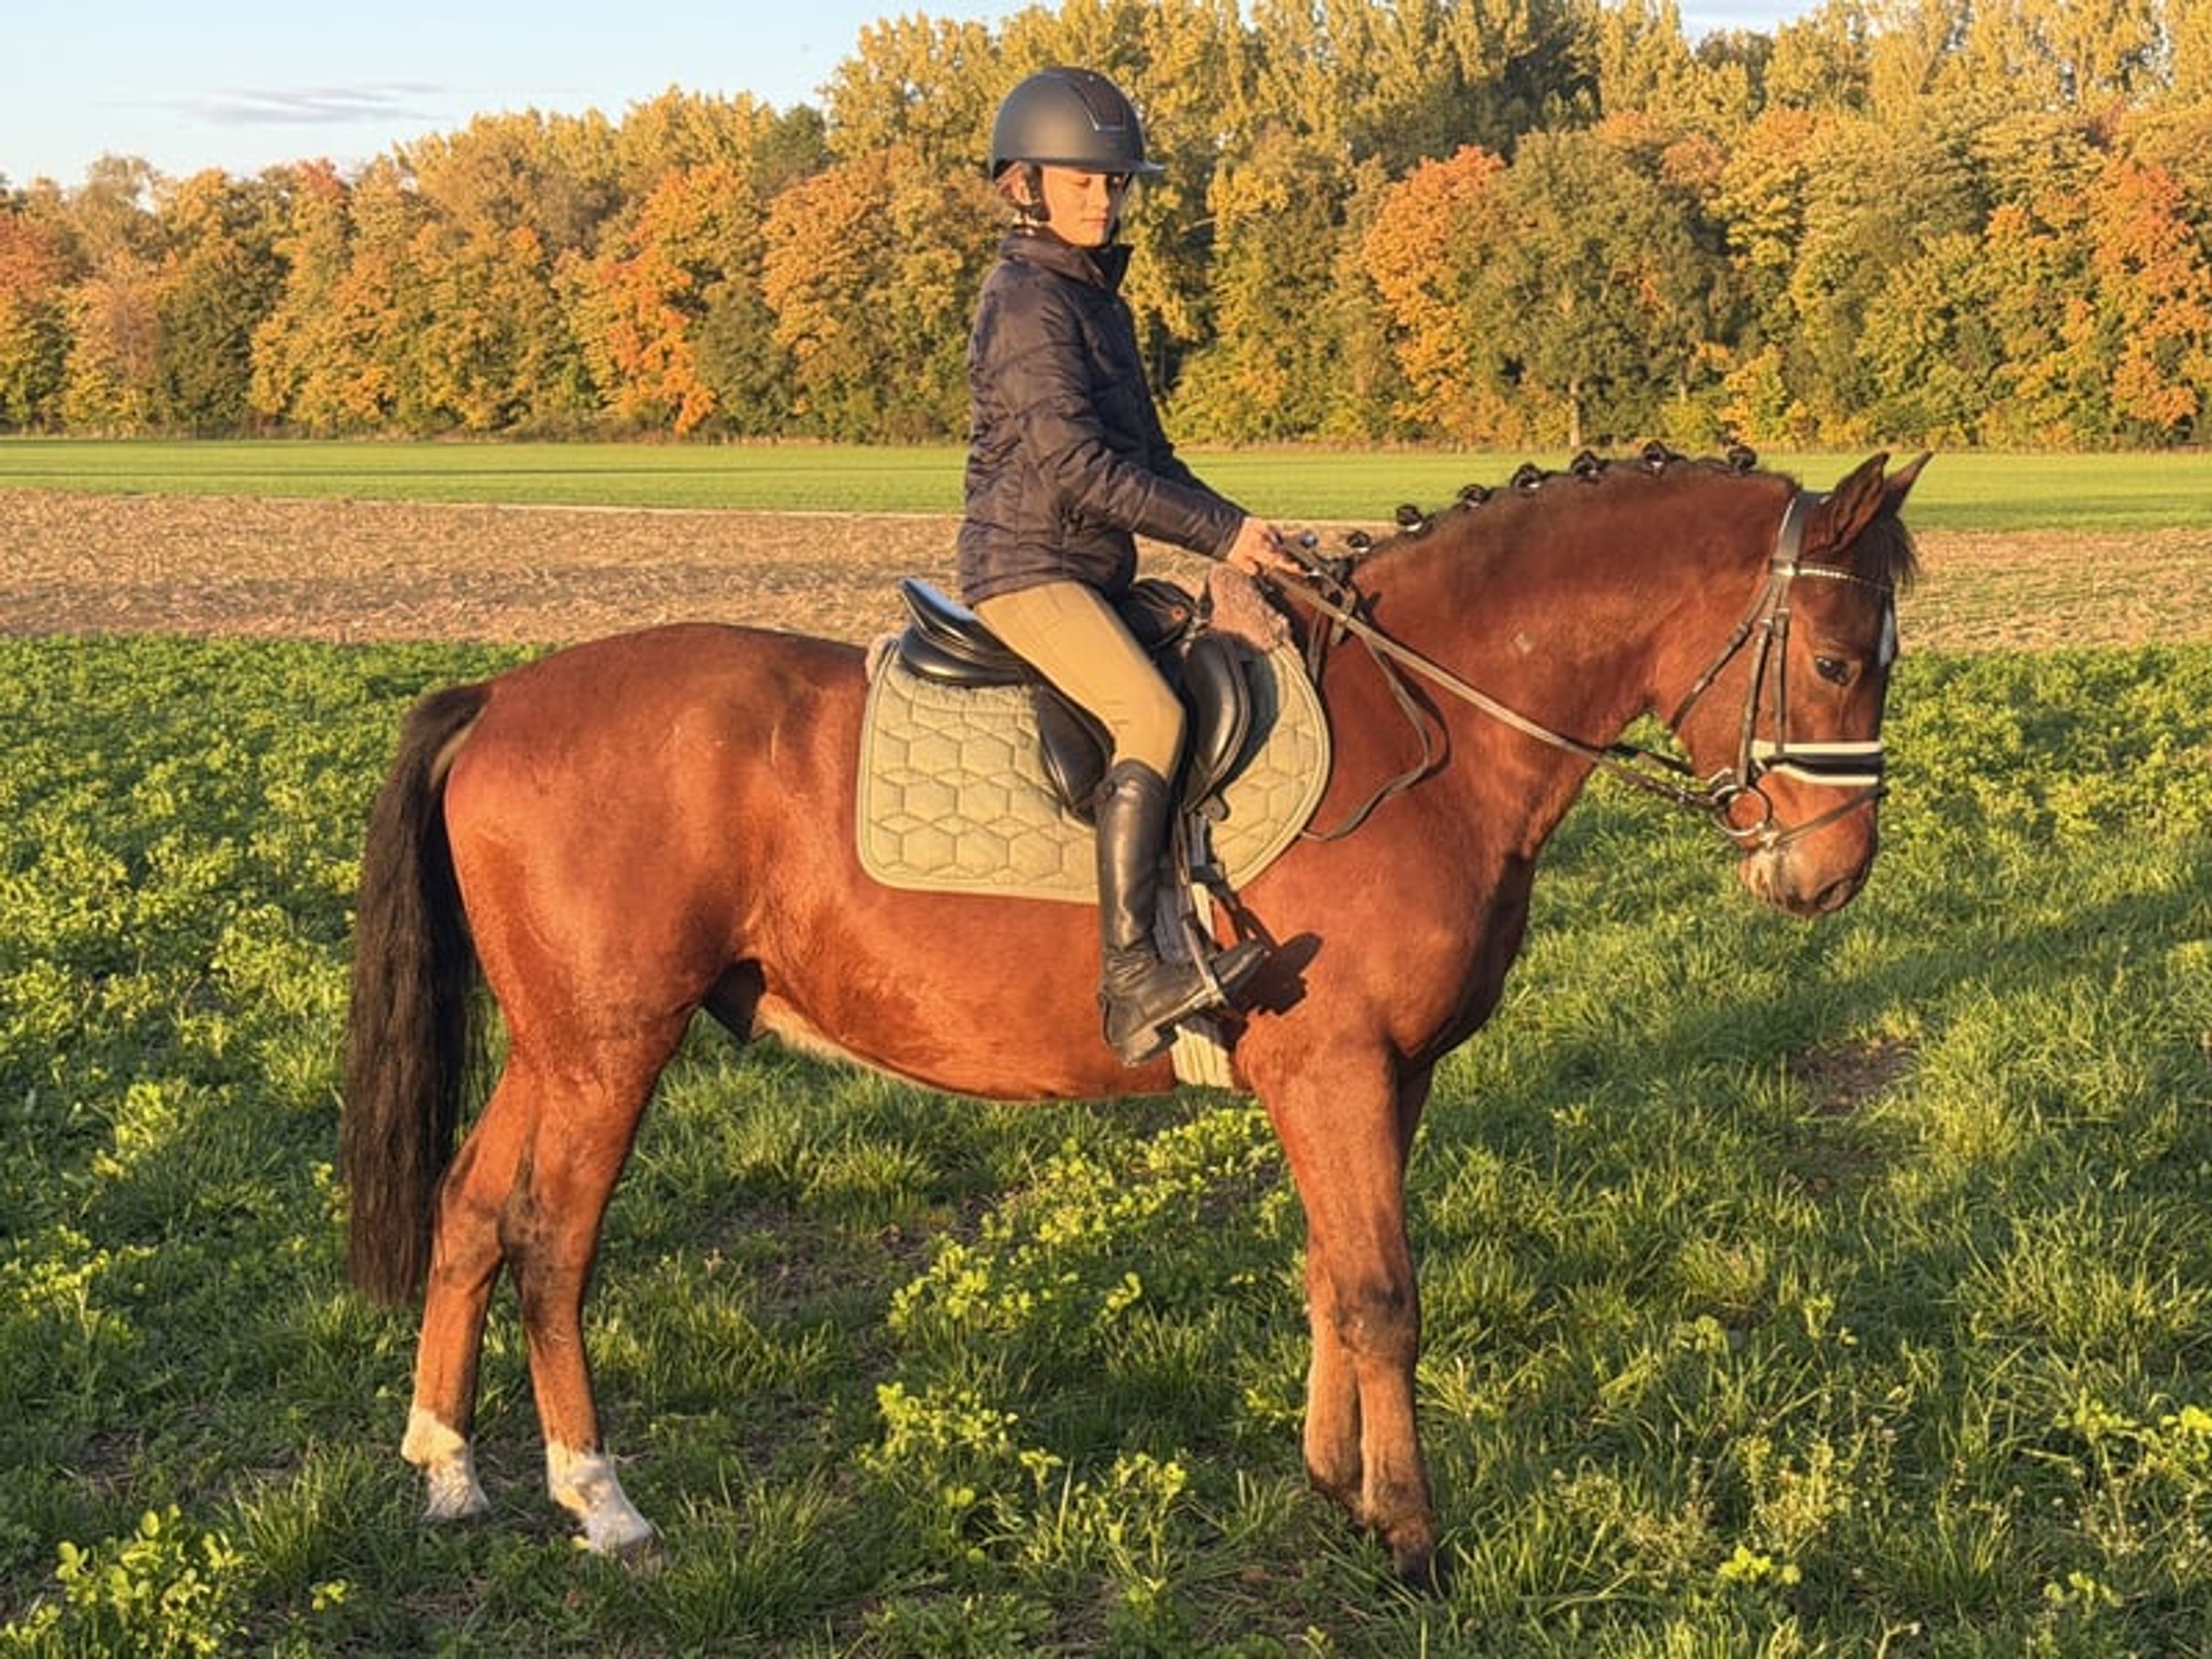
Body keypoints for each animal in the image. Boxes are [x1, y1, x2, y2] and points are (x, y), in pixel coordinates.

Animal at [341, 447, 1925, 1588]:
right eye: (1840, 662)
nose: (1831, 875)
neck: (1429, 733)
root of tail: (504, 693)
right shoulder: (1341, 1072)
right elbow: (1384, 1294)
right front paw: (1413, 1540)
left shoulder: (1376, 1080)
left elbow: (1328, 1278)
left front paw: (1335, 1488)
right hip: (616, 1045)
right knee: (554, 1244)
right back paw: (599, 1501)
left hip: (557, 1044)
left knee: (471, 1212)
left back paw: (448, 1468)